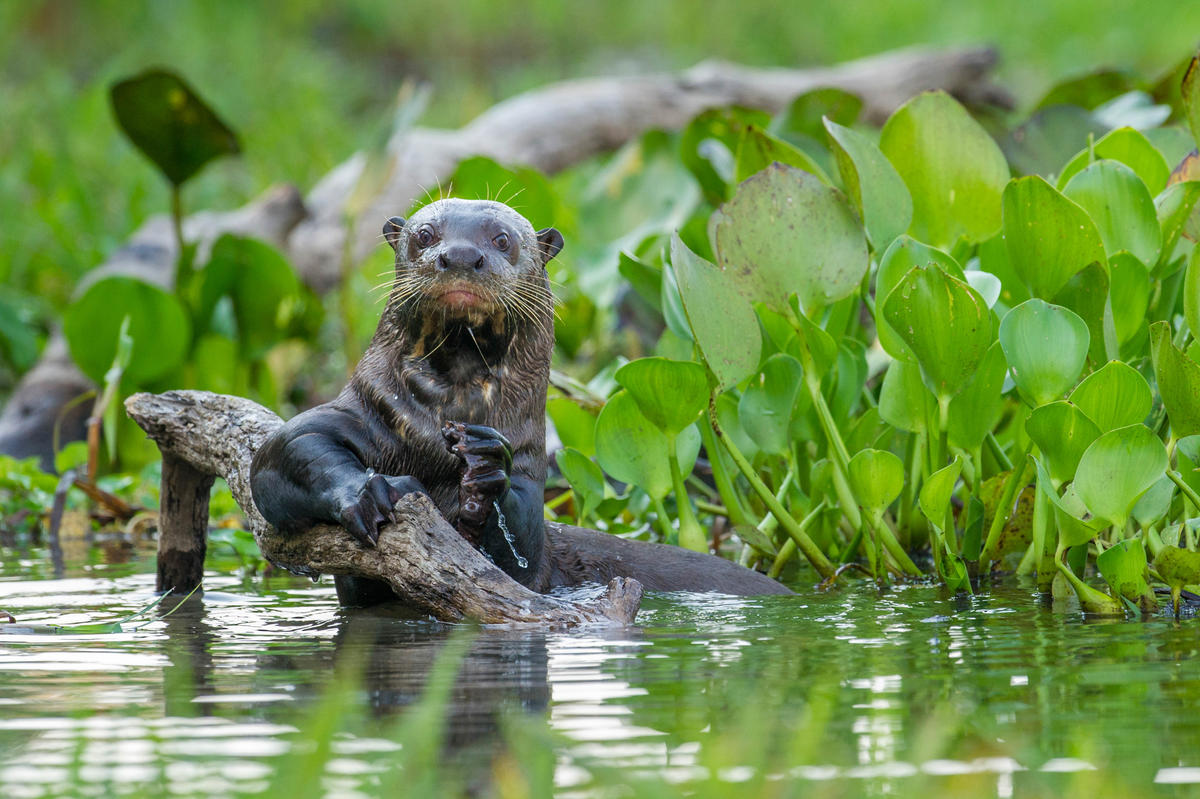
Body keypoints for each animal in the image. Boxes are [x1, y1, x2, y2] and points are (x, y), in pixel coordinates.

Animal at [250, 199, 790, 604]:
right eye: (425, 235)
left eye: (502, 239)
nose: (460, 256)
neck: (445, 417)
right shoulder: (364, 411)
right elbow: (281, 454)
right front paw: (371, 491)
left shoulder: (533, 469)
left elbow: (522, 553)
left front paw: (487, 467)